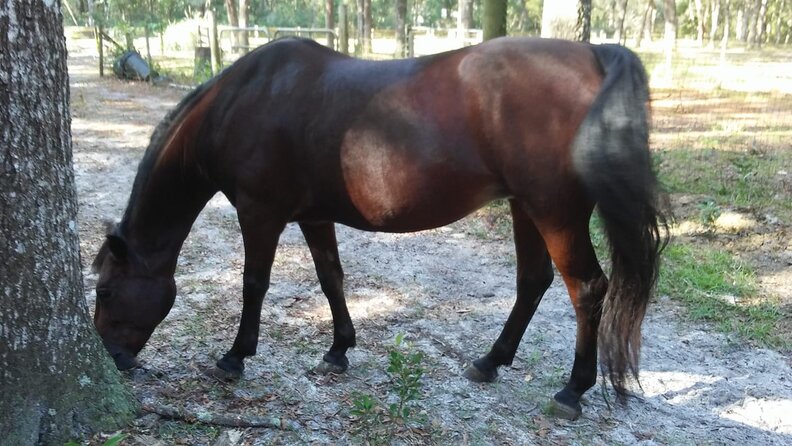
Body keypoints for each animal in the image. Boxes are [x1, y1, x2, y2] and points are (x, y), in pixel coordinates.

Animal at [91, 36, 666, 419]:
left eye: (105, 290)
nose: (112, 359)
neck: (245, 100)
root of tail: (591, 53)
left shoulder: (260, 214)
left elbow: (254, 284)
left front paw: (234, 358)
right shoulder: (314, 216)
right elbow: (331, 278)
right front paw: (338, 350)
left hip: (555, 211)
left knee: (587, 289)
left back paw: (572, 391)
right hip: (526, 207)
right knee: (533, 283)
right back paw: (489, 362)